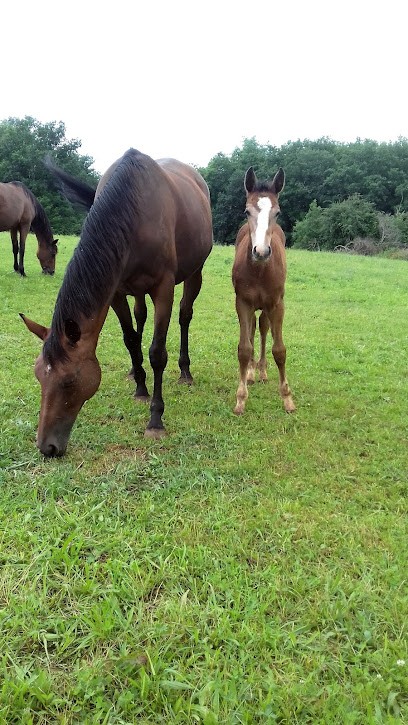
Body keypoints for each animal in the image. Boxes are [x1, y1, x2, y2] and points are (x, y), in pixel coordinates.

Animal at [21, 148, 213, 456]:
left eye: (69, 381)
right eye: (39, 375)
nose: (47, 446)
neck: (133, 209)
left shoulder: (164, 289)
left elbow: (157, 352)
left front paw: (155, 419)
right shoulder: (116, 293)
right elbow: (130, 339)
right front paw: (140, 387)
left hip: (195, 273)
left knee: (185, 316)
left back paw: (185, 371)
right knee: (140, 316)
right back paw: (134, 372)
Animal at [232, 166, 295, 416]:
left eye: (277, 212)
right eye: (247, 211)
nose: (261, 251)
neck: (259, 271)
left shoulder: (277, 304)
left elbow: (280, 350)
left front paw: (287, 399)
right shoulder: (242, 303)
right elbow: (244, 348)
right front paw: (241, 399)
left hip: (268, 307)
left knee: (264, 328)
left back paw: (262, 371)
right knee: (252, 330)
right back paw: (251, 373)